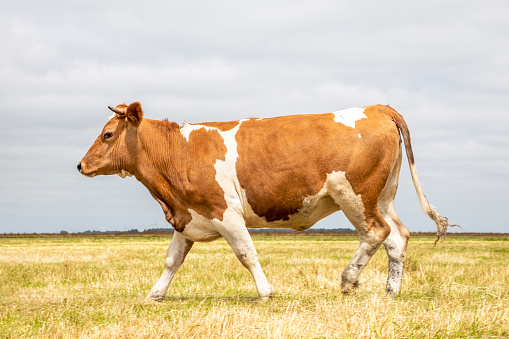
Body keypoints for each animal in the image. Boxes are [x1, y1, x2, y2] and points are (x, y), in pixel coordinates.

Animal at [77, 102, 454, 302]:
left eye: (107, 134)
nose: (81, 165)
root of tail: (376, 107)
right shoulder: (188, 216)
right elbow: (172, 260)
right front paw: (155, 294)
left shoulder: (225, 213)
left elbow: (246, 253)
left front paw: (265, 291)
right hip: (383, 196)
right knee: (397, 236)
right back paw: (391, 291)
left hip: (355, 196)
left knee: (376, 233)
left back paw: (348, 279)